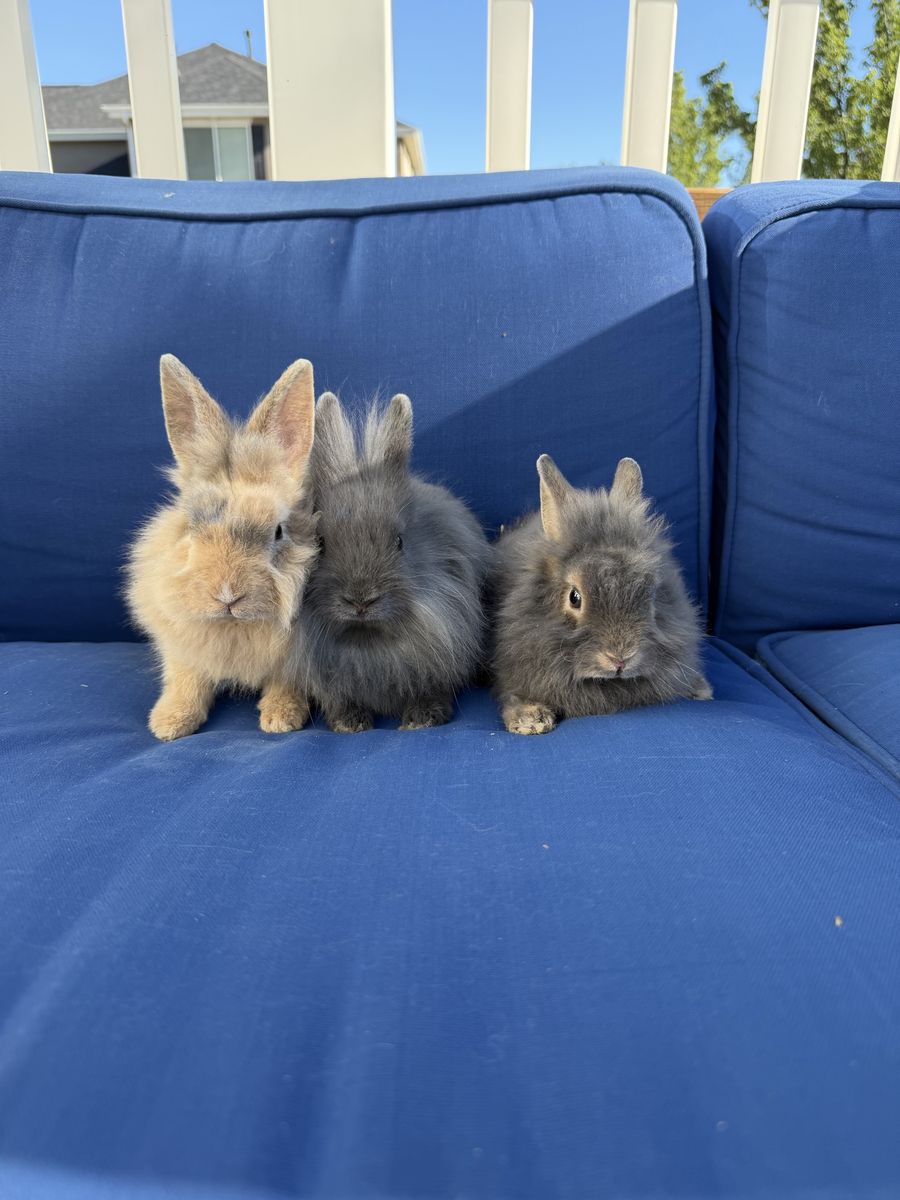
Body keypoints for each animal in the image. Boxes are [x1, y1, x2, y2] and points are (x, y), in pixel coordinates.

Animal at [126, 355, 319, 741]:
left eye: (278, 531)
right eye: (191, 526)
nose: (227, 595)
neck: (234, 627)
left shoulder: (293, 661)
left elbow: (286, 683)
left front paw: (281, 719)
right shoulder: (181, 649)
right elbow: (185, 681)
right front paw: (168, 723)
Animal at [299, 391, 490, 732]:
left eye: (400, 542)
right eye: (321, 543)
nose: (361, 601)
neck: (369, 640)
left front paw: (422, 719)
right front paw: (350, 723)